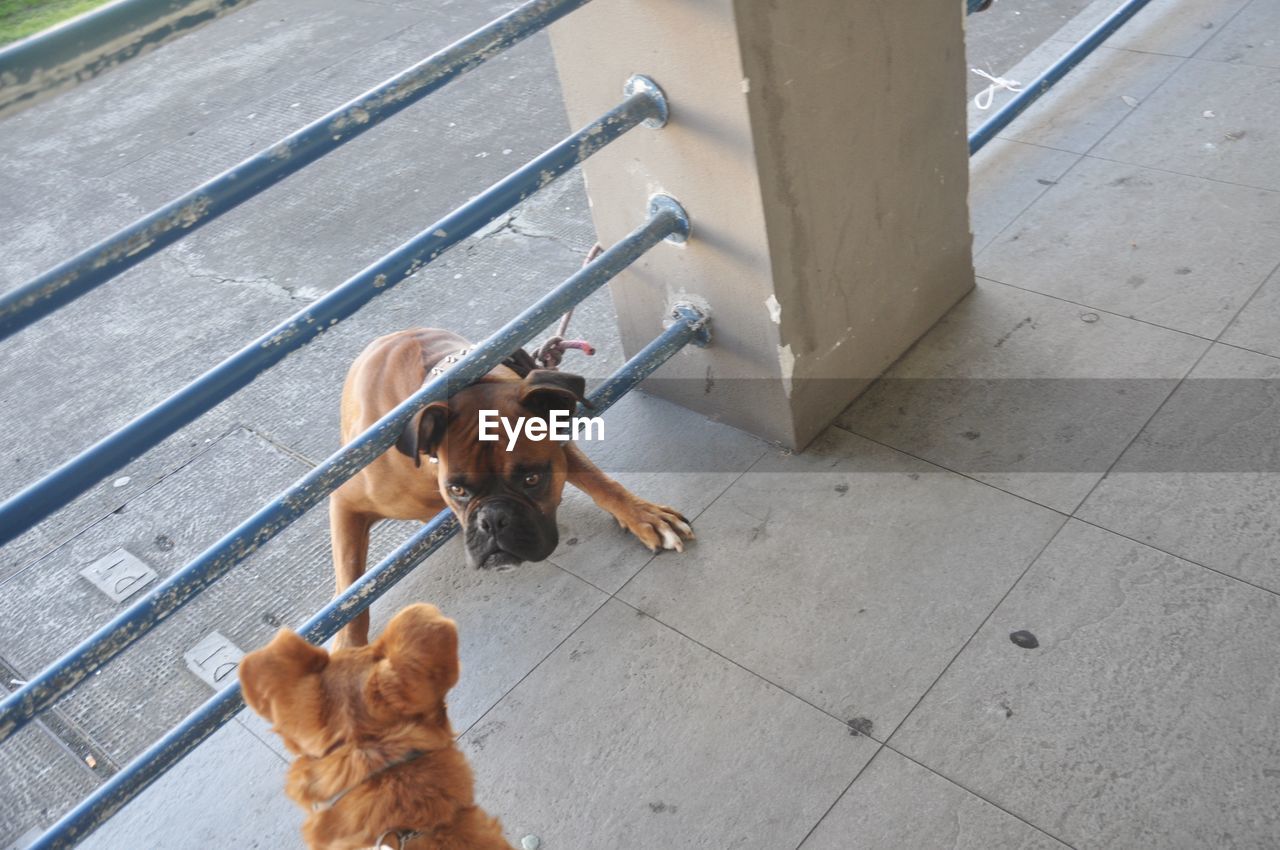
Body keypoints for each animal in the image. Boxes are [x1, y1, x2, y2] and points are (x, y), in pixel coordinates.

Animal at [330, 327, 691, 647]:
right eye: (457, 490)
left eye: (532, 479)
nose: (493, 519)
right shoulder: (347, 502)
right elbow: (349, 587)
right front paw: (348, 650)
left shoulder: (557, 447)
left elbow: (599, 480)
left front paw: (641, 513)